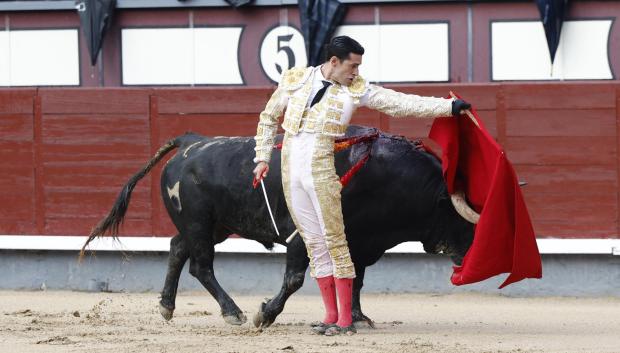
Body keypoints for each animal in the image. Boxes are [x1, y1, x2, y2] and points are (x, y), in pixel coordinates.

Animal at [82, 126, 474, 328]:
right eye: (464, 222)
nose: (468, 262)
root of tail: (190, 141)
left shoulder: (358, 242)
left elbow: (355, 279)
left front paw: (358, 318)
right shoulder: (305, 238)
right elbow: (295, 280)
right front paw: (265, 314)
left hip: (216, 225)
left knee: (178, 248)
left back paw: (166, 306)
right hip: (200, 222)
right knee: (201, 265)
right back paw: (234, 313)